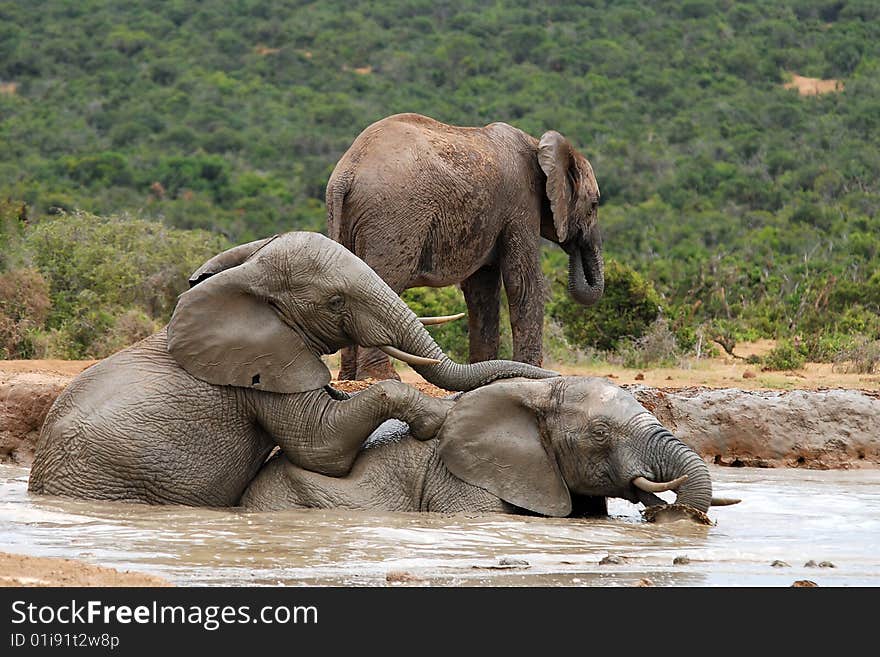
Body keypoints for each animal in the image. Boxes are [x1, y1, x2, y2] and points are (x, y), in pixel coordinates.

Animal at [29, 232, 556, 508]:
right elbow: (321, 446)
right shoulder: (261, 374)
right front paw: (435, 421)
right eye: (336, 302)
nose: (552, 379)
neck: (245, 280)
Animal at [326, 111, 600, 380]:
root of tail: (347, 171)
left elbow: (482, 288)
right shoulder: (521, 203)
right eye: (595, 204)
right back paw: (382, 377)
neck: (538, 144)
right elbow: (522, 282)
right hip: (393, 216)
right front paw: (532, 372)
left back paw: (349, 378)